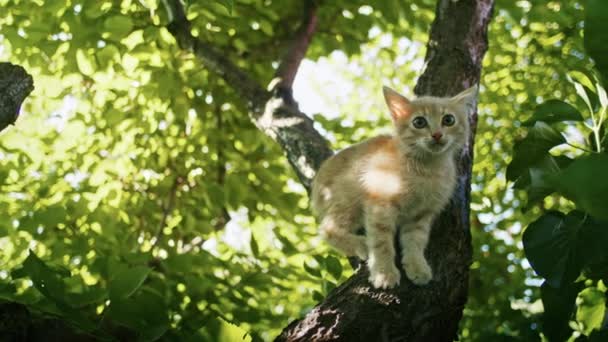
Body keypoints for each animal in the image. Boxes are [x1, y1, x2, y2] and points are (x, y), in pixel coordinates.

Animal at [312, 84, 478, 288]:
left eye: (448, 120)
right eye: (419, 122)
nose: (437, 134)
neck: (427, 168)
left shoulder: (421, 214)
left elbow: (415, 241)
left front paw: (416, 266)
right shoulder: (380, 205)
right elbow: (381, 242)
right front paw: (384, 272)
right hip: (347, 199)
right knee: (327, 229)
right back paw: (361, 244)